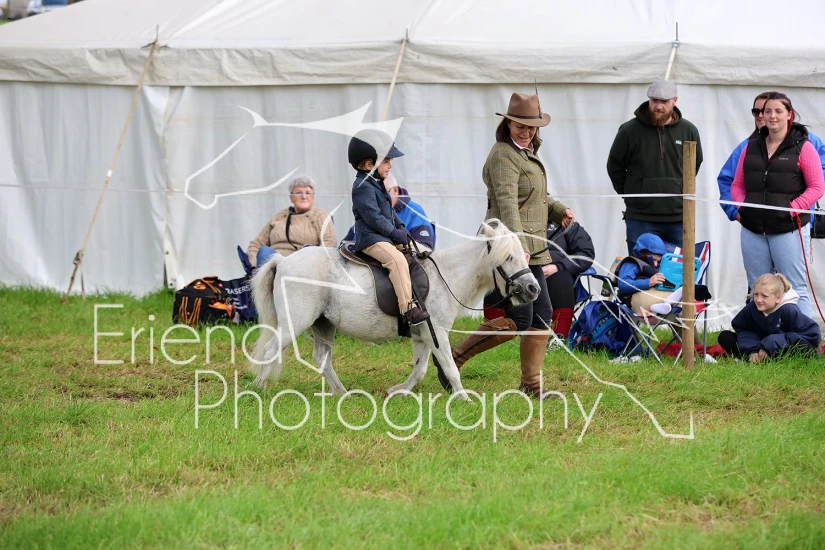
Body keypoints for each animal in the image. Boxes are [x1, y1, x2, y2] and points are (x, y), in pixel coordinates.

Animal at [249, 219, 539, 400]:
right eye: (508, 257)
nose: (533, 289)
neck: (445, 274)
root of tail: (283, 261)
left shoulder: (423, 334)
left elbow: (420, 369)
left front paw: (398, 391)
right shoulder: (437, 332)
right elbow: (449, 366)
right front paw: (464, 399)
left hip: (324, 324)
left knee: (321, 358)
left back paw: (341, 392)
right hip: (295, 322)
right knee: (272, 350)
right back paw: (259, 389)